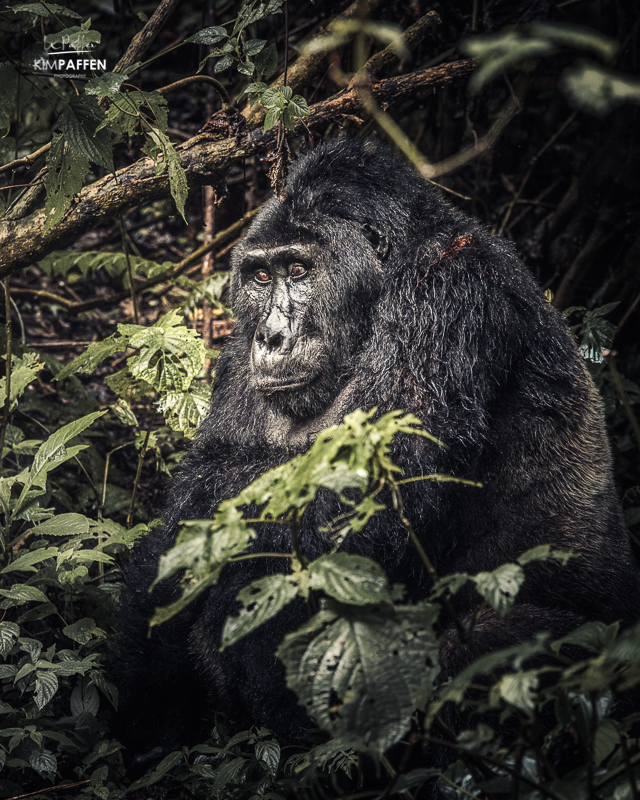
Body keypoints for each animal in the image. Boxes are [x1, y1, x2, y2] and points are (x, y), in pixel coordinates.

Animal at [115, 136, 640, 764]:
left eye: (299, 270)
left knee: (499, 647)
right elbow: (212, 478)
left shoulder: (449, 290)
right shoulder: (240, 346)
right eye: (260, 277)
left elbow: (371, 497)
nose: (274, 337)